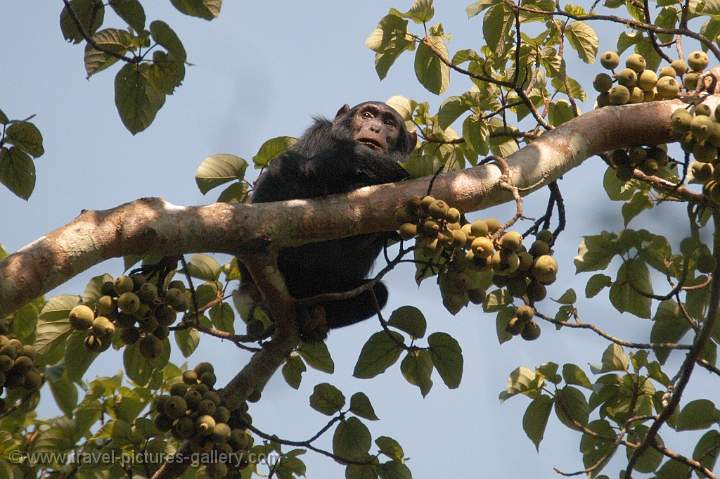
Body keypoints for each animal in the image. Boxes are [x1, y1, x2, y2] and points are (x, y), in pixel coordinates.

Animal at [250, 101, 416, 340]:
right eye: (367, 115)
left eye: (389, 123)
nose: (375, 128)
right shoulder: (319, 133)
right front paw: (358, 157)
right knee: (285, 167)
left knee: (378, 293)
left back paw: (313, 320)